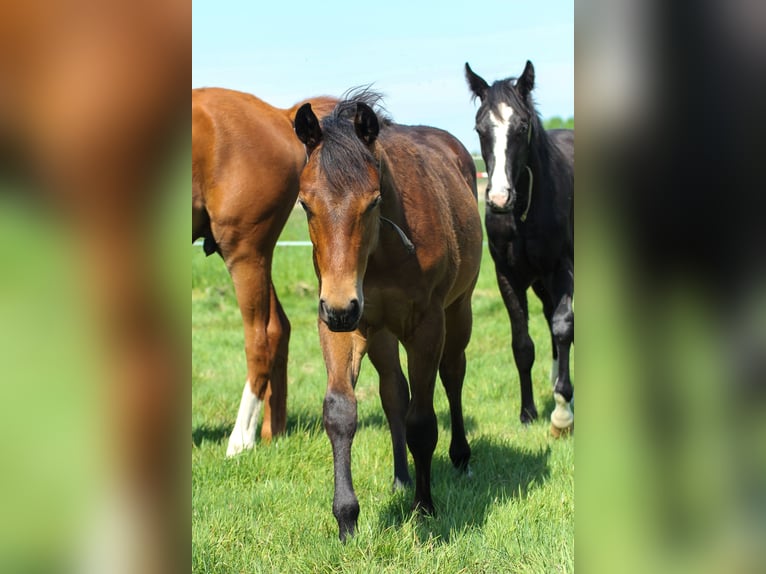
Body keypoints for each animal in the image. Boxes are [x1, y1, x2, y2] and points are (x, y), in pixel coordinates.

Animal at [192, 88, 337, 456]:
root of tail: (279, 115)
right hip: (255, 255)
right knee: (278, 327)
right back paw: (274, 432)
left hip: (245, 252)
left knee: (259, 338)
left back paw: (241, 439)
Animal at [293, 91, 483, 540]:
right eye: (305, 203)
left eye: (374, 201)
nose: (342, 306)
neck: (379, 255)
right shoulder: (341, 323)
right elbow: (341, 412)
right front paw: (346, 518)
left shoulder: (427, 326)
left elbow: (423, 422)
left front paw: (425, 507)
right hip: (378, 332)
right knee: (394, 392)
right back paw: (401, 477)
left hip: (459, 310)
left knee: (453, 374)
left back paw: (460, 458)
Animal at [465, 60, 575, 436]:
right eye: (480, 127)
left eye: (522, 125)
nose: (499, 198)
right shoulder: (508, 276)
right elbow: (523, 344)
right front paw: (528, 412)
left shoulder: (564, 269)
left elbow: (564, 326)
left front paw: (562, 414)